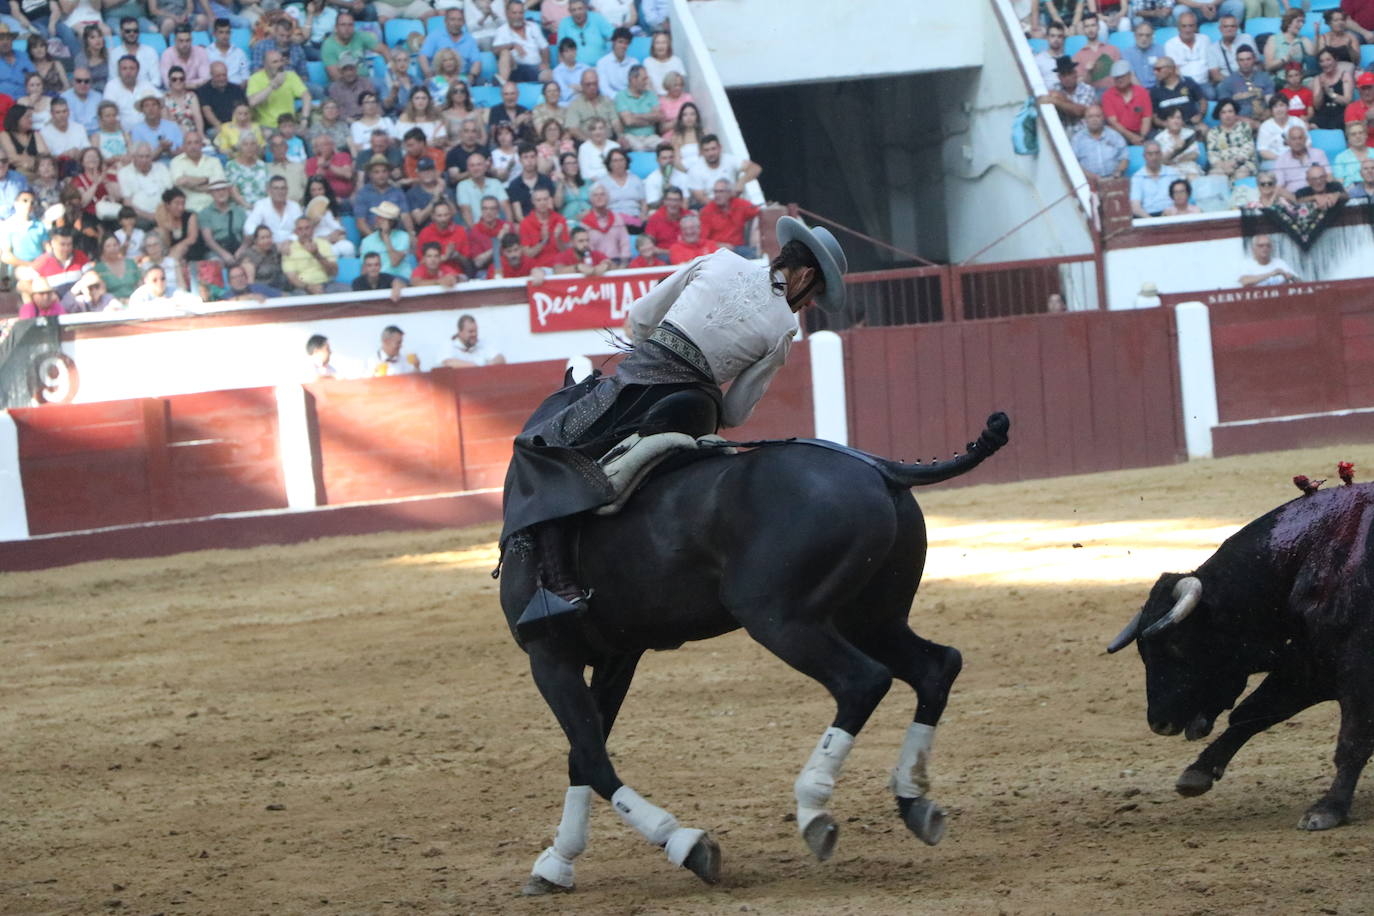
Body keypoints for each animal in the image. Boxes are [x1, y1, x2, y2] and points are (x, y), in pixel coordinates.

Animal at [502, 411, 1011, 889]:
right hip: (871, 618)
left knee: (863, 681)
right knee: (936, 667)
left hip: (780, 619)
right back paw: (913, 799)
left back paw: (813, 809)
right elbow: (583, 755)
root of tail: (880, 470)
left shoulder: (550, 660)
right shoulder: (617, 657)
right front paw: (558, 862)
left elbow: (590, 756)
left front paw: (687, 844)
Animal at [1104, 483, 1374, 834]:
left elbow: (1352, 739)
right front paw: (1198, 772)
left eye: (1177, 644)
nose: (1159, 723)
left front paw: (1328, 809)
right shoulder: (1311, 664)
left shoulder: (1358, 671)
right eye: (1142, 652)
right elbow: (1254, 712)